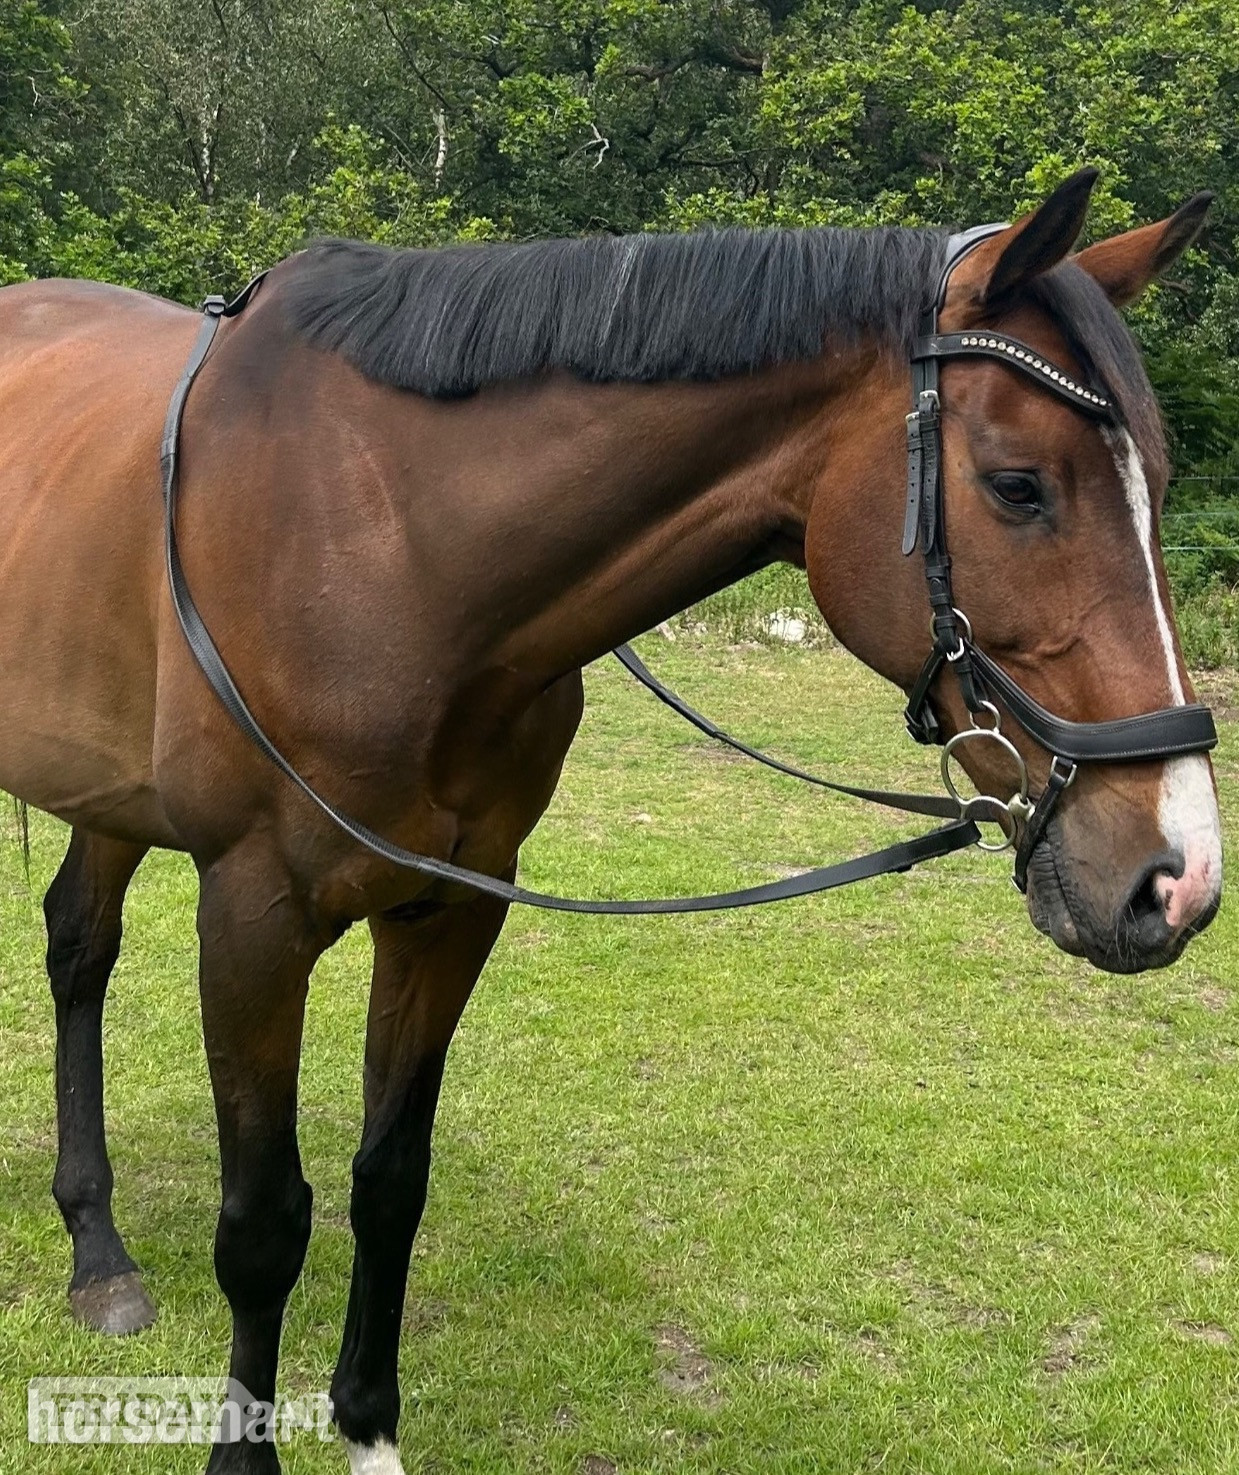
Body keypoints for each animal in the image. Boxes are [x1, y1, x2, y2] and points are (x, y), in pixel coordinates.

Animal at [0, 166, 1222, 1473]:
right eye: (1018, 486)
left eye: (1157, 478)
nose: (1177, 875)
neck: (386, 544)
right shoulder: (253, 917)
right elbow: (265, 1223)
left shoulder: (452, 904)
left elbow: (390, 1178)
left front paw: (369, 1428)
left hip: (110, 791)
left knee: (78, 941)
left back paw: (98, 1254)